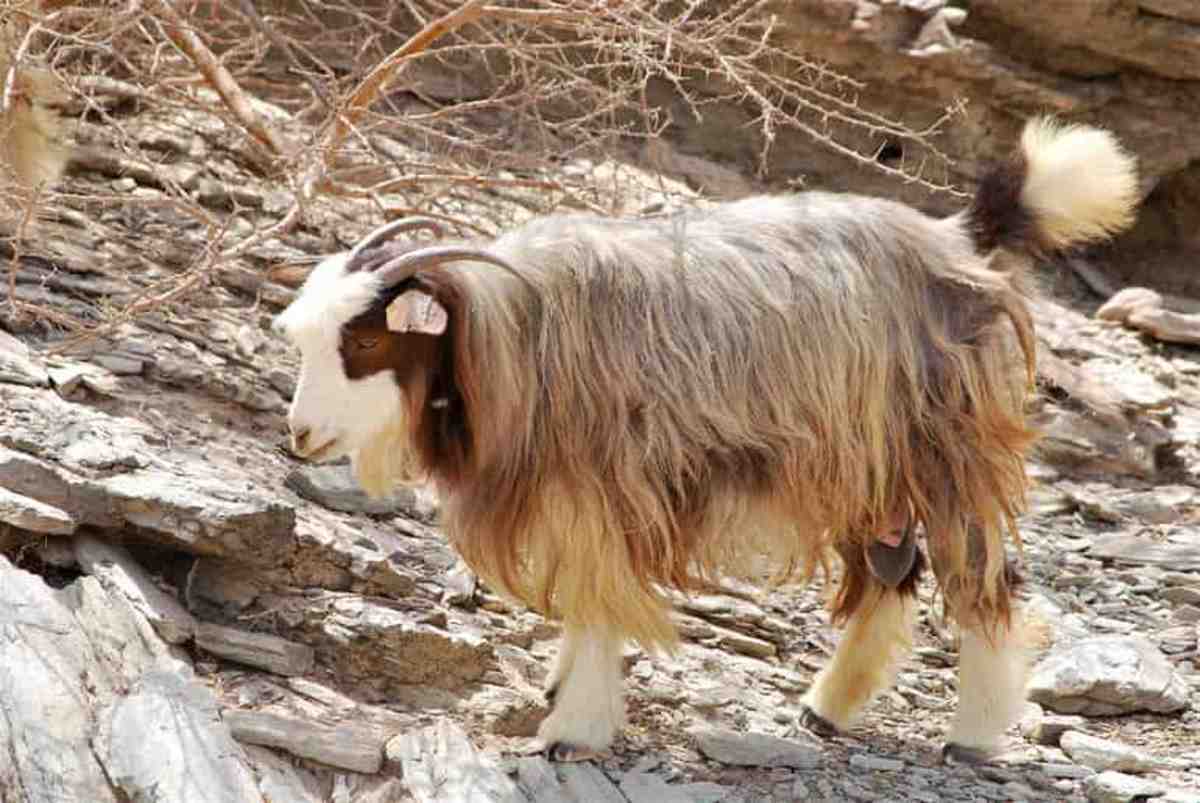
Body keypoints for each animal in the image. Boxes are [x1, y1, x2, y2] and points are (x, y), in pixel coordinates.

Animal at [273, 118, 1139, 763]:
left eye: (365, 343)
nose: (299, 434)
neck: (506, 333)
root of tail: (961, 240)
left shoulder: (599, 487)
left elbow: (598, 598)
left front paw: (572, 728)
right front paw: (561, 689)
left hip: (950, 453)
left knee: (982, 581)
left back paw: (972, 736)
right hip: (861, 467)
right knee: (892, 577)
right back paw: (826, 708)